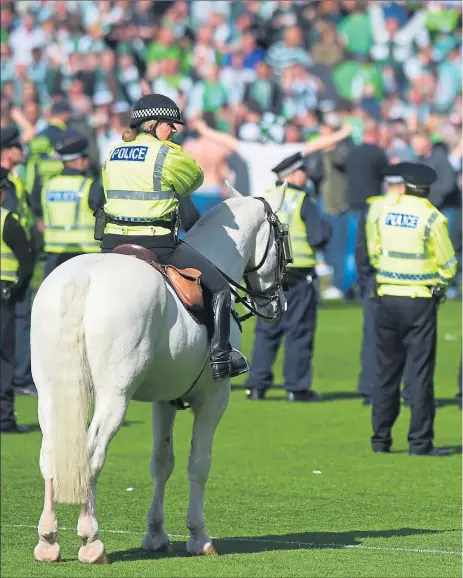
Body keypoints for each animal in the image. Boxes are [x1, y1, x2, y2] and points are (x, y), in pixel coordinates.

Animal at [30, 181, 288, 564]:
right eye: (284, 237)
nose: (277, 304)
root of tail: (84, 279)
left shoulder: (165, 400)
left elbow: (161, 462)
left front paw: (155, 534)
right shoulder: (213, 399)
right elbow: (199, 463)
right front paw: (199, 536)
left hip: (50, 393)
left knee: (50, 454)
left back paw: (48, 540)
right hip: (114, 398)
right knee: (90, 455)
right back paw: (91, 540)